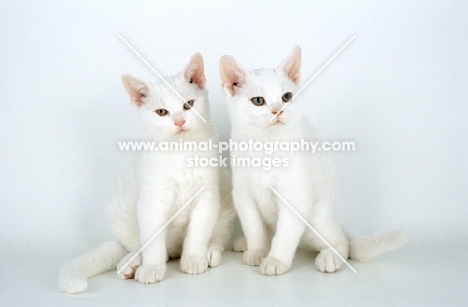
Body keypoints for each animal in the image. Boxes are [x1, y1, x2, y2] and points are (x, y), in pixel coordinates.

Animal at [59, 54, 236, 294]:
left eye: (188, 105)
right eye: (161, 112)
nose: (179, 121)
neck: (182, 150)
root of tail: (173, 250)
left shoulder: (207, 195)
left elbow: (198, 232)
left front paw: (193, 258)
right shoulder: (153, 200)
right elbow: (152, 240)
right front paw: (152, 267)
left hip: (225, 195)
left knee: (217, 234)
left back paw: (210, 251)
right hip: (119, 210)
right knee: (137, 246)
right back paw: (131, 262)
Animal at [219, 47, 406, 276]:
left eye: (287, 96)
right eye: (258, 101)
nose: (278, 110)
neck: (266, 146)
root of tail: (336, 218)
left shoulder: (295, 196)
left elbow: (285, 234)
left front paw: (276, 259)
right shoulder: (243, 195)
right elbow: (253, 227)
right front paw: (256, 250)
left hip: (318, 220)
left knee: (343, 243)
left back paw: (330, 256)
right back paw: (248, 243)